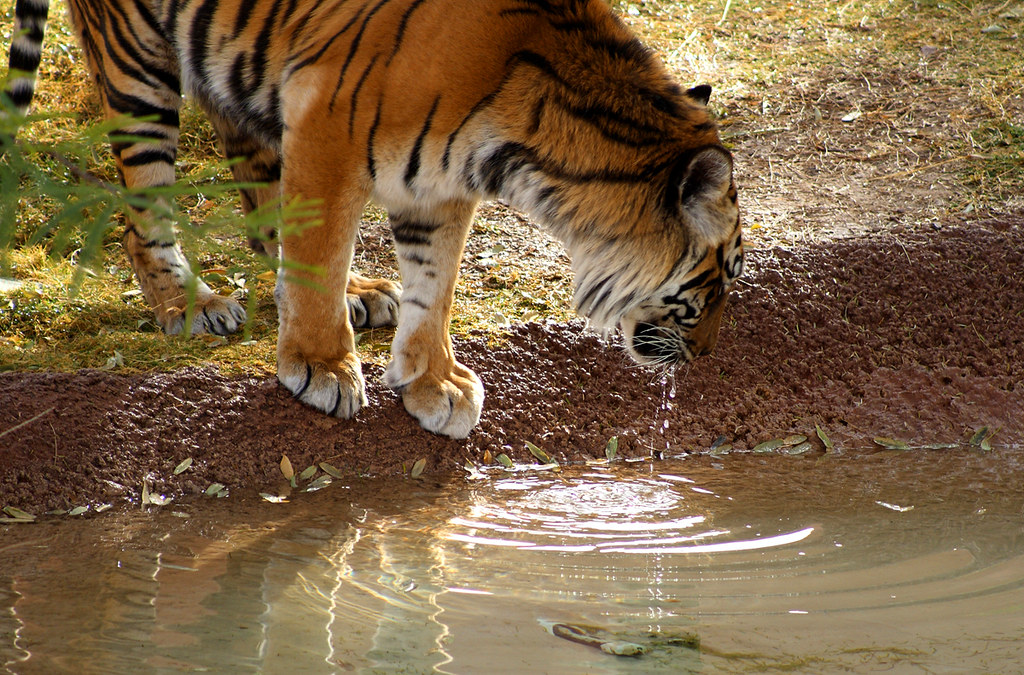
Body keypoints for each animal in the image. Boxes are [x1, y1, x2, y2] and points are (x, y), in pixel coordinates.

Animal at [5, 0, 744, 439]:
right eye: (722, 277)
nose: (709, 357)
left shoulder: (437, 183)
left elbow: (434, 286)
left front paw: (433, 383)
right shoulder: (327, 124)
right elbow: (320, 252)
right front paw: (321, 370)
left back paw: (360, 294)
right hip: (137, 61)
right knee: (144, 208)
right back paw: (191, 303)